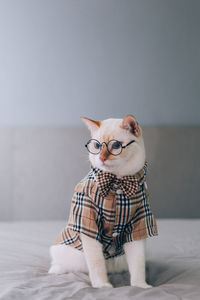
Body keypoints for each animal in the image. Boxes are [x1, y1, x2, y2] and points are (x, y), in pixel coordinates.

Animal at [48, 115, 158, 288]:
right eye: (97, 146)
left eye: (116, 145)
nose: (101, 157)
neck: (117, 181)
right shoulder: (89, 226)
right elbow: (96, 264)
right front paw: (102, 285)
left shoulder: (138, 225)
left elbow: (138, 264)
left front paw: (141, 286)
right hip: (68, 253)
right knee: (62, 264)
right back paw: (56, 270)